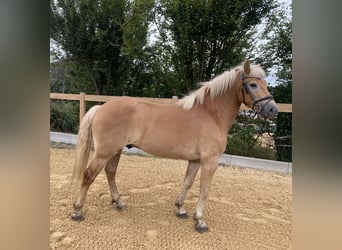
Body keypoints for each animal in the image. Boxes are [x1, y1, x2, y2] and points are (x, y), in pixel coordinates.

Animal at [70, 59, 278, 233]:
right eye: (253, 84)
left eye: (266, 84)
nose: (273, 110)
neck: (211, 114)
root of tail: (101, 107)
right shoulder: (210, 161)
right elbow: (204, 189)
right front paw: (200, 221)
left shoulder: (195, 160)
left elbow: (188, 182)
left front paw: (181, 209)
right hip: (104, 152)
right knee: (88, 175)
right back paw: (77, 211)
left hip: (115, 151)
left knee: (110, 173)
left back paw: (119, 202)